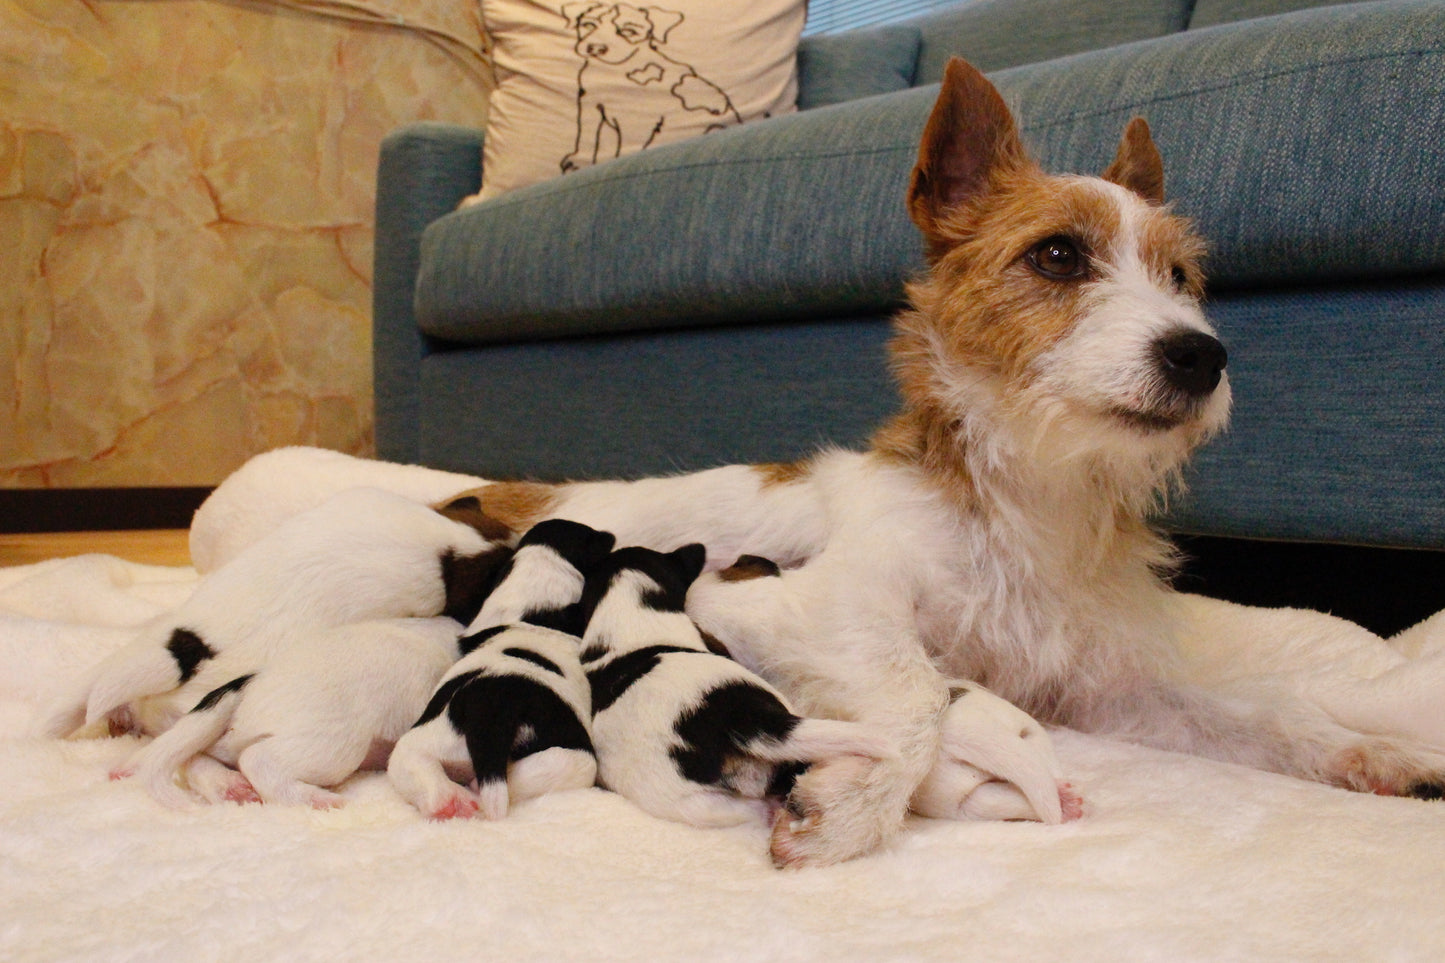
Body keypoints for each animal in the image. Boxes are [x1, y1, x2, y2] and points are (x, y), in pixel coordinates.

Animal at [387, 520, 615, 820]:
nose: (611, 536)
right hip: (574, 757)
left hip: (420, 744)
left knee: (420, 770)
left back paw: (451, 802)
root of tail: (488, 714)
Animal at [559, 2, 741, 174]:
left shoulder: (635, 121)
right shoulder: (589, 103)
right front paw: (577, 161)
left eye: (629, 31)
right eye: (588, 25)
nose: (595, 48)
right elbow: (586, 136)